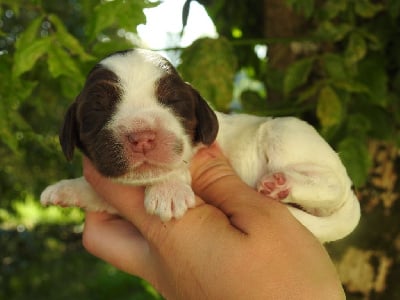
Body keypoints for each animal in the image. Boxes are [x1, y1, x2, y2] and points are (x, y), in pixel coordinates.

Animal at [41, 48, 362, 243]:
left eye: (172, 101)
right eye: (98, 108)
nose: (143, 136)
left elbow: (182, 165)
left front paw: (168, 189)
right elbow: (97, 193)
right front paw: (65, 189)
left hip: (286, 132)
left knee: (333, 186)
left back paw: (283, 182)